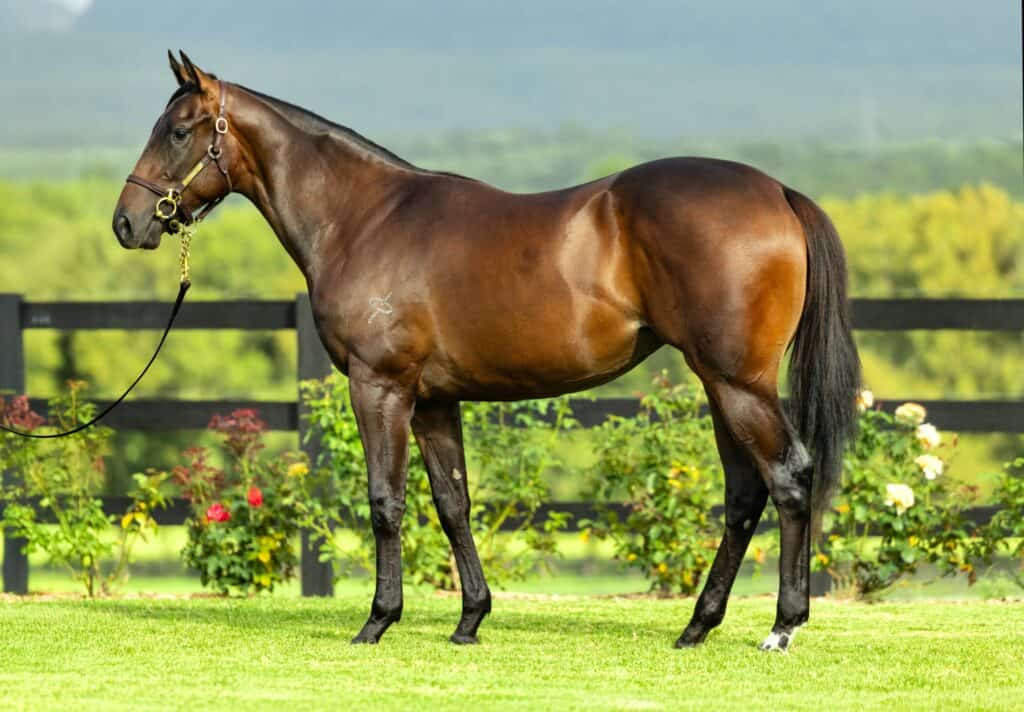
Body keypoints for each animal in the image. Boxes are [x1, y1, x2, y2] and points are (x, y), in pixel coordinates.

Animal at [114, 52, 860, 651]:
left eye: (178, 130)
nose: (127, 222)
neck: (363, 219)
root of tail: (778, 192)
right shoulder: (434, 400)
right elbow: (453, 503)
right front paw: (470, 619)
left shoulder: (380, 386)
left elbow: (386, 501)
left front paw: (377, 620)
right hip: (720, 383)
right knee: (744, 495)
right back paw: (698, 626)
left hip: (738, 384)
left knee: (789, 478)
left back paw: (782, 626)